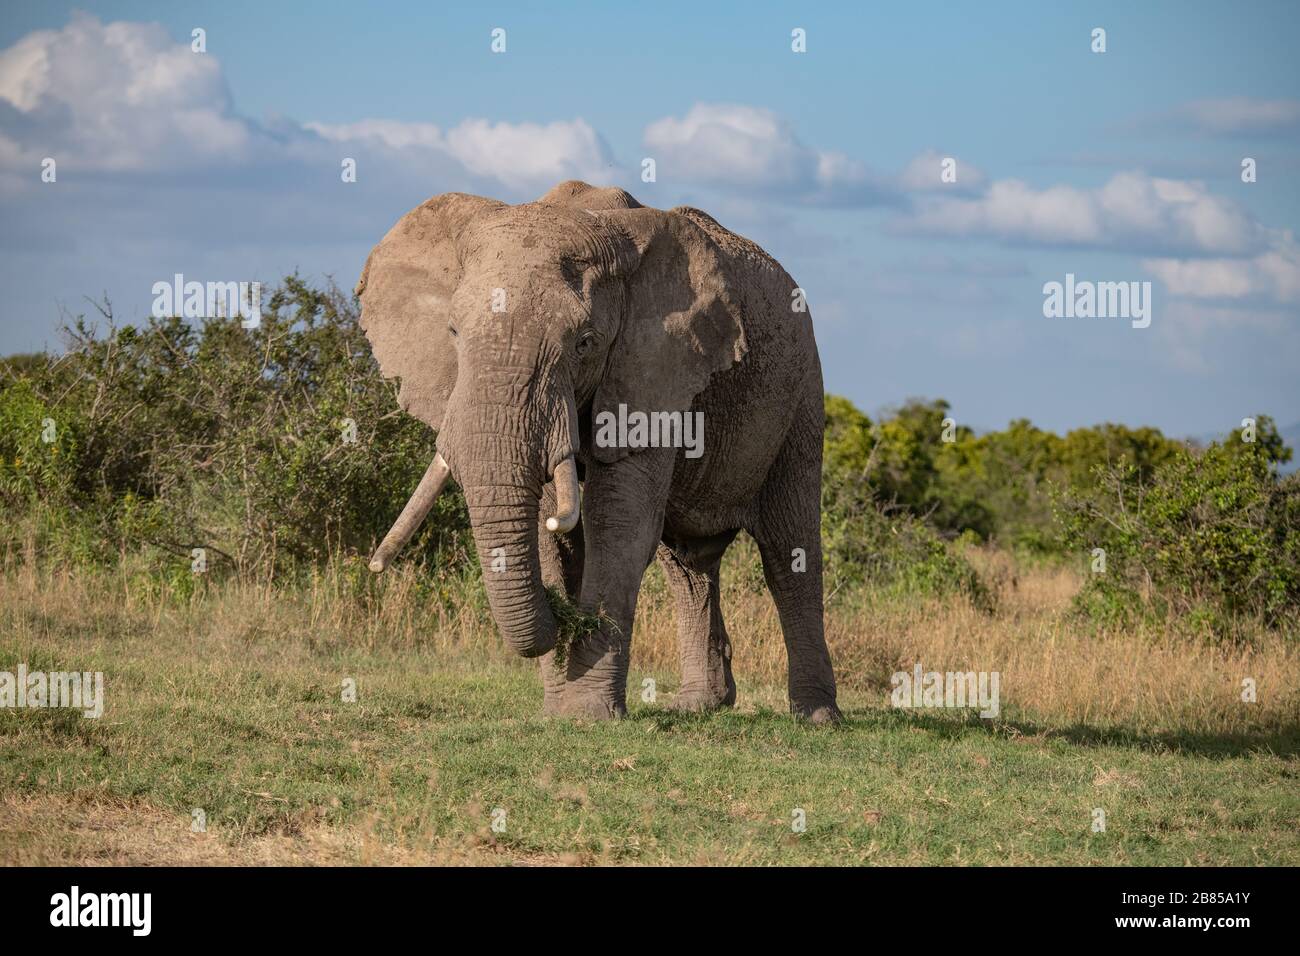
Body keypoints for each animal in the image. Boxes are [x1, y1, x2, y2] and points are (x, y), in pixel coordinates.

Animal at [356, 179, 842, 723]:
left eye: (584, 343)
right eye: (453, 333)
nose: (560, 614)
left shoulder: (655, 371)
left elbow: (618, 523)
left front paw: (586, 713)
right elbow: (555, 532)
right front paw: (559, 710)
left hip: (803, 390)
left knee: (788, 551)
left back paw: (816, 717)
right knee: (688, 567)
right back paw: (699, 706)